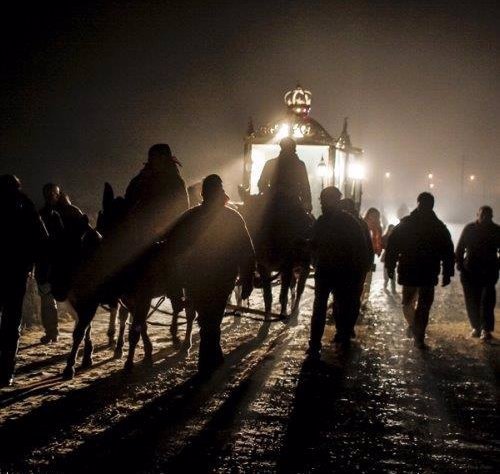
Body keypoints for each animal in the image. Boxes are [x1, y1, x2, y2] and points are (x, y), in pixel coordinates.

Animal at [235, 186, 312, 318]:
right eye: (245, 212)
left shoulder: (287, 266)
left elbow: (283, 293)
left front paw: (283, 313)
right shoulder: (264, 266)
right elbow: (267, 295)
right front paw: (267, 315)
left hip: (304, 264)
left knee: (300, 287)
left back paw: (294, 309)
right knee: (293, 285)